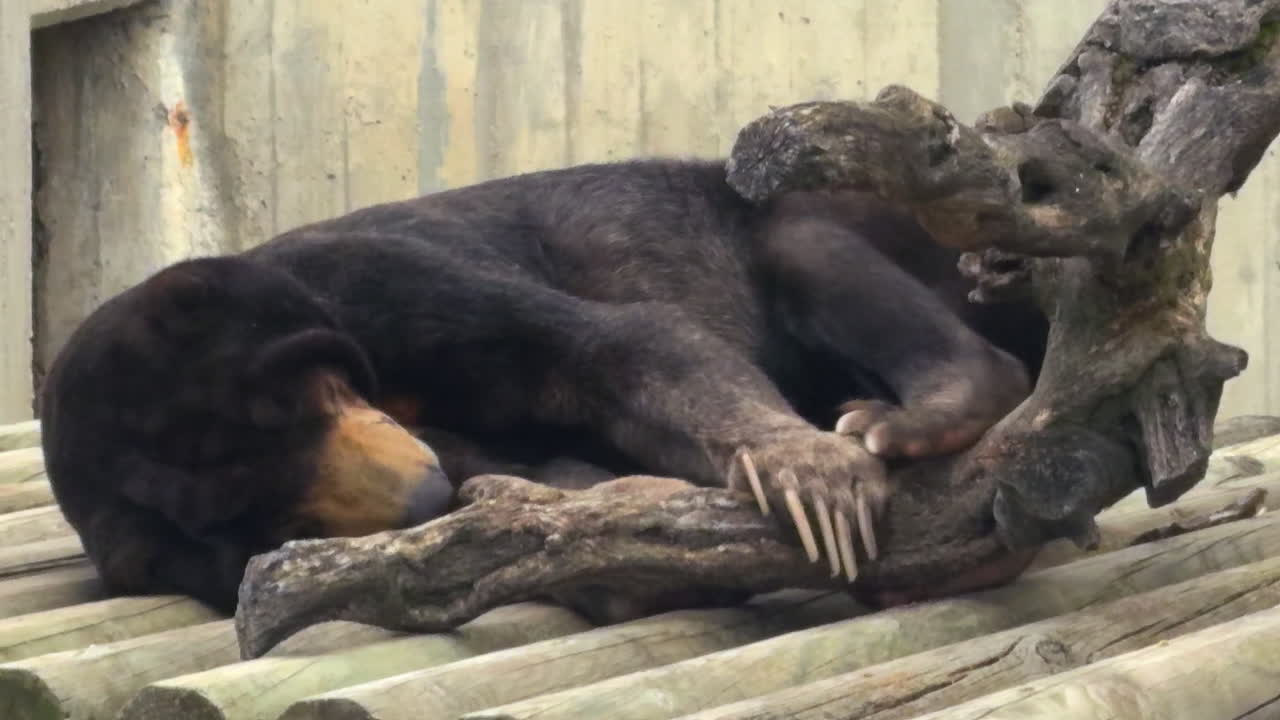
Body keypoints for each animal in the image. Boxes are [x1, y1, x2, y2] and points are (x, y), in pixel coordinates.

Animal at [40, 157, 1047, 615]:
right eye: (275, 515)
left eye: (309, 399)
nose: (419, 492)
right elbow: (551, 473)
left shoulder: (373, 274)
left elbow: (619, 345)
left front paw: (811, 483)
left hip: (896, 230)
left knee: (804, 241)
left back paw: (912, 423)